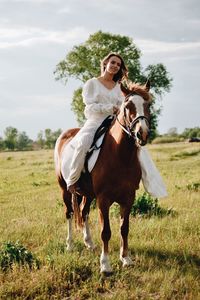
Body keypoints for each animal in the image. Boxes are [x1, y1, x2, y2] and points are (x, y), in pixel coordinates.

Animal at [54, 80, 151, 274]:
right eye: (127, 106)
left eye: (148, 105)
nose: (142, 133)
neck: (120, 155)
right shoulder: (104, 199)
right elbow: (106, 231)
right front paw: (105, 264)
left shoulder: (128, 198)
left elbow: (124, 228)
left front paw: (126, 258)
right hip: (66, 191)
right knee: (69, 213)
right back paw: (70, 245)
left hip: (88, 194)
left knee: (83, 212)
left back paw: (89, 243)